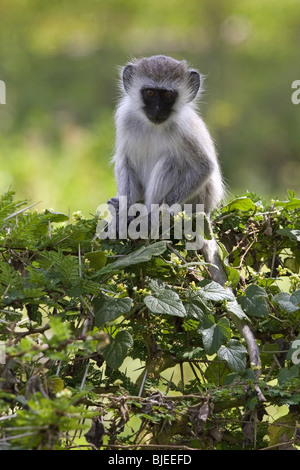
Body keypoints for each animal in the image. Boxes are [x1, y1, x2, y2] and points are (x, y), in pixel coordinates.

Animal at [108, 55, 262, 388]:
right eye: (150, 93)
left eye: (168, 95)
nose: (157, 111)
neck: (154, 124)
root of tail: (206, 215)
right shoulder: (125, 119)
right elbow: (124, 161)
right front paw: (123, 214)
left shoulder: (184, 131)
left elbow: (203, 168)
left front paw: (152, 218)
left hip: (194, 203)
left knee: (172, 161)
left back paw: (151, 224)